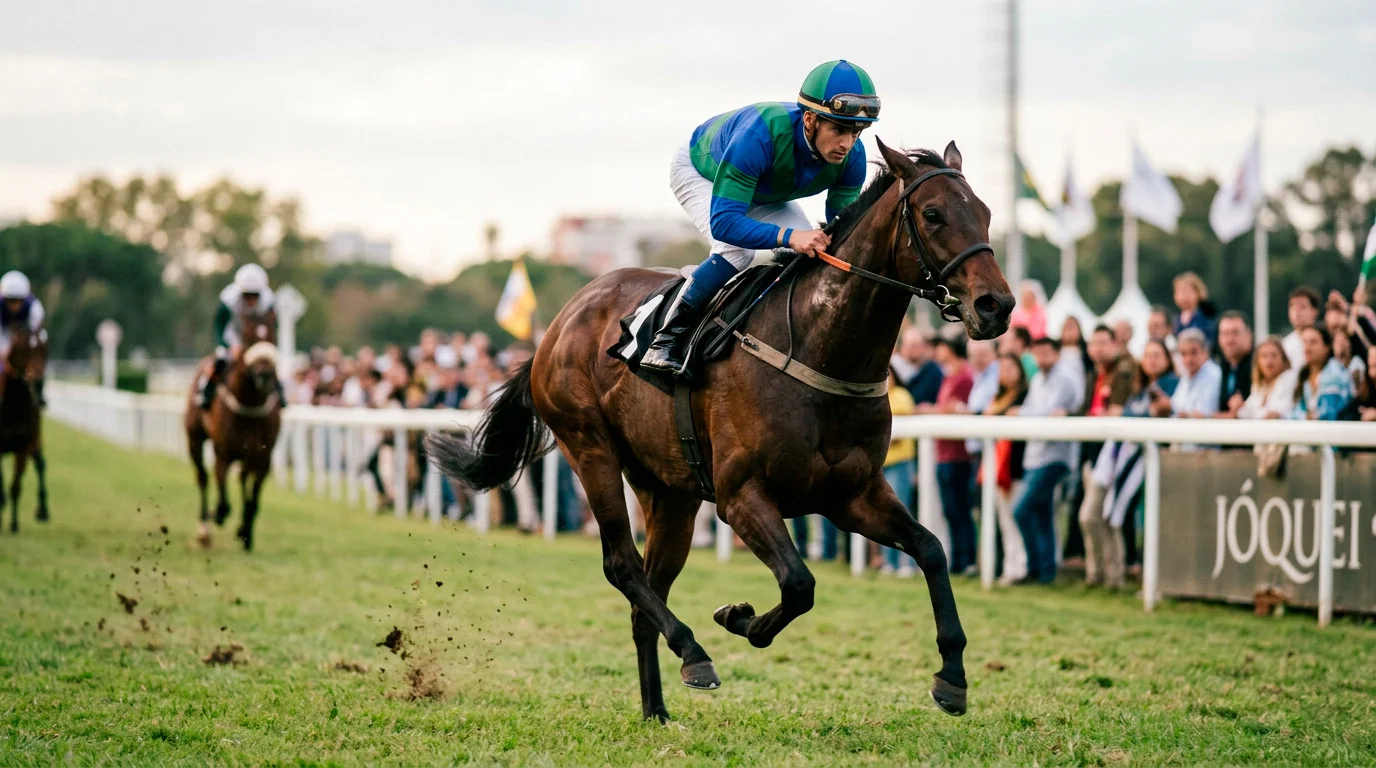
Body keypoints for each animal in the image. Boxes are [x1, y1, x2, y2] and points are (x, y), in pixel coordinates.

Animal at [185, 314, 282, 551]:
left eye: (274, 334)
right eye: (248, 338)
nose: (264, 375)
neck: (250, 406)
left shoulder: (263, 456)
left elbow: (253, 498)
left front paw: (246, 532)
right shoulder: (223, 453)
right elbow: (223, 501)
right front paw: (219, 516)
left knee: (241, 479)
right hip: (194, 439)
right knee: (203, 477)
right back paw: (204, 530)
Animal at [428, 140, 1013, 721]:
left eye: (986, 212)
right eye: (933, 214)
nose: (997, 305)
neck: (819, 350)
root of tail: (557, 323)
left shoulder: (852, 495)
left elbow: (931, 548)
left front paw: (952, 676)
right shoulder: (741, 495)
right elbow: (799, 583)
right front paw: (739, 618)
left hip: (669, 491)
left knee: (647, 591)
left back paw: (656, 711)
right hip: (590, 449)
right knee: (622, 565)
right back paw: (693, 653)